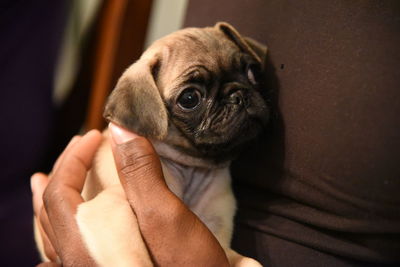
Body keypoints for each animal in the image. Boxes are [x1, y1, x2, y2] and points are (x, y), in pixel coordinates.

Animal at [36, 22, 268, 266]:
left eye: (252, 72)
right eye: (189, 99)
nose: (239, 95)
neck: (191, 171)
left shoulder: (218, 237)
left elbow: (246, 261)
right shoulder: (111, 210)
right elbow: (134, 259)